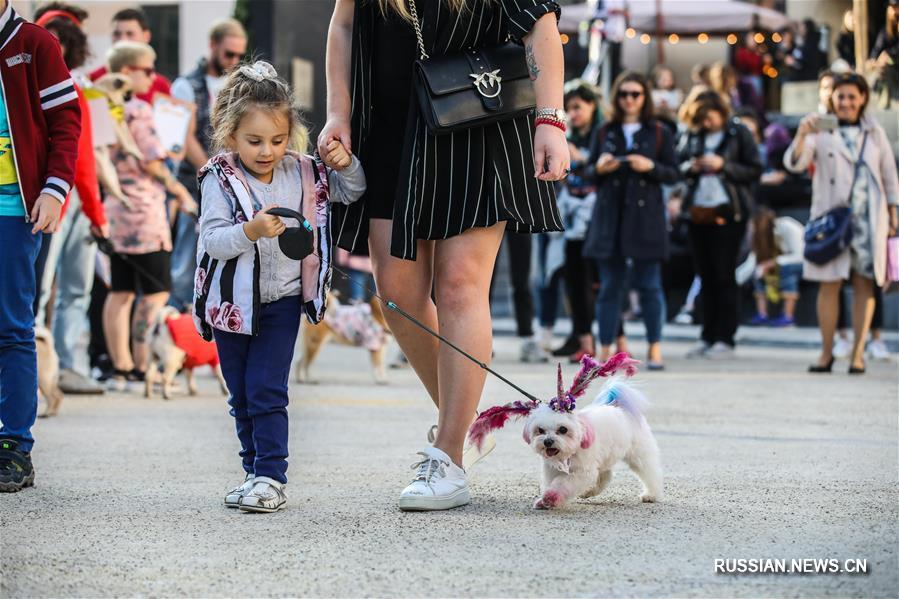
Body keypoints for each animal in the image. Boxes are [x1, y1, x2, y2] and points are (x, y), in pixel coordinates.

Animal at [468, 354, 664, 512]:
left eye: (563, 430)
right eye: (540, 430)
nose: (548, 441)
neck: (567, 455)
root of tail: (619, 406)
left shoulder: (580, 473)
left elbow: (562, 485)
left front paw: (551, 498)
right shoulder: (552, 469)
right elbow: (552, 483)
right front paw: (545, 501)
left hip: (639, 454)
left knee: (649, 472)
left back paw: (651, 494)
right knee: (606, 475)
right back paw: (590, 491)